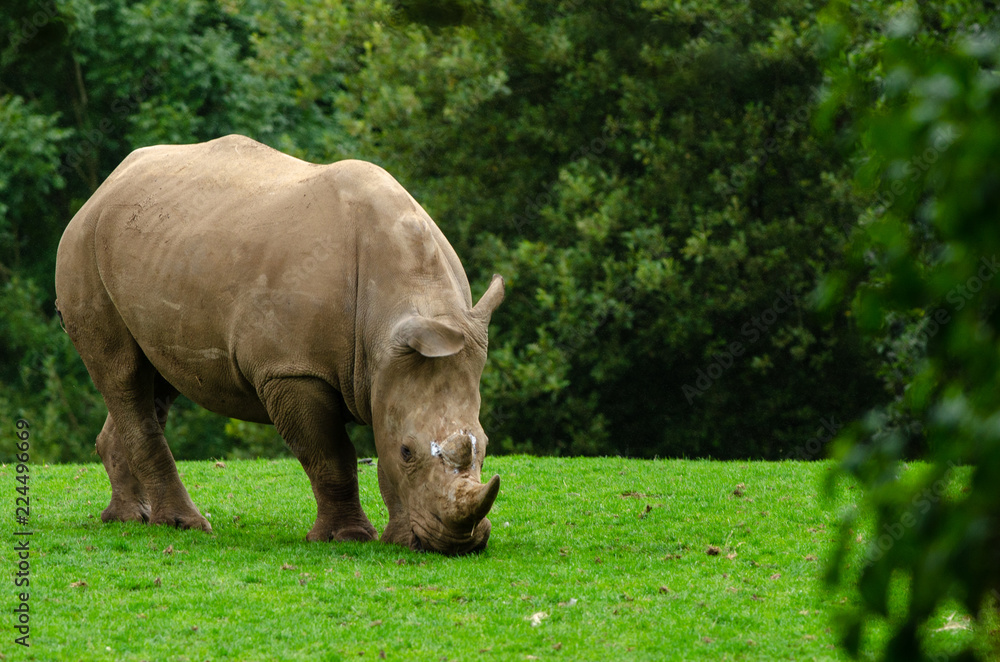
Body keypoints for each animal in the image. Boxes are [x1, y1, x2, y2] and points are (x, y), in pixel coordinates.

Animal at [55, 135, 504, 555]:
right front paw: (346, 538)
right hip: (82, 245)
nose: (456, 545)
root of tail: (105, 185)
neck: (391, 317)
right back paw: (182, 526)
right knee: (123, 373)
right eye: (406, 451)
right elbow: (330, 455)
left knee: (156, 378)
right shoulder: (291, 370)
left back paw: (129, 519)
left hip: (160, 246)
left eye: (485, 446)